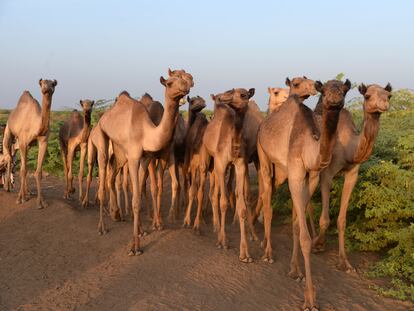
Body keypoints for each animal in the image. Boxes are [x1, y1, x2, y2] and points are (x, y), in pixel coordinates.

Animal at [2, 78, 57, 210]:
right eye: (42, 83)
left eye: (53, 84)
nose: (46, 89)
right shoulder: (23, 141)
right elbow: (23, 170)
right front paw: (20, 199)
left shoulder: (43, 141)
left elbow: (38, 172)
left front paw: (41, 202)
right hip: (9, 131)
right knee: (9, 157)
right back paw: (8, 188)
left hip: (23, 145)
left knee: (17, 159)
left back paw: (27, 192)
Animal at [97, 72, 192, 256]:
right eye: (170, 83)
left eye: (184, 79)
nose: (186, 86)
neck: (146, 133)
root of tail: (104, 116)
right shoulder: (134, 158)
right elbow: (135, 199)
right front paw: (135, 247)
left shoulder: (145, 158)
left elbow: (140, 191)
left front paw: (141, 231)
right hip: (102, 136)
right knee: (103, 175)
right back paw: (102, 228)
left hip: (120, 152)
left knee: (112, 178)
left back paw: (117, 215)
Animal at [195, 88, 256, 264]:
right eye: (231, 91)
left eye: (244, 95)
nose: (222, 98)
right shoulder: (221, 164)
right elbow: (223, 202)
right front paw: (223, 241)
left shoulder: (240, 165)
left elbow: (241, 206)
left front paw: (245, 253)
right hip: (206, 158)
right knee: (203, 190)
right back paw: (200, 227)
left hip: (217, 167)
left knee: (214, 192)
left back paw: (216, 226)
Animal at [258, 77, 350, 310]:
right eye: (324, 91)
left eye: (344, 90)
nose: (334, 101)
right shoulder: (296, 173)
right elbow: (306, 239)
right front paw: (310, 300)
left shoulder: (313, 177)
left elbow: (298, 226)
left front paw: (295, 270)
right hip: (263, 156)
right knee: (266, 198)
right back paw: (267, 252)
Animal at [308, 83, 392, 272]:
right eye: (367, 96)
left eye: (388, 95)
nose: (383, 104)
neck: (350, 150)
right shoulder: (327, 174)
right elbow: (325, 219)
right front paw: (318, 244)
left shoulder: (352, 174)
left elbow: (342, 220)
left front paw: (344, 262)